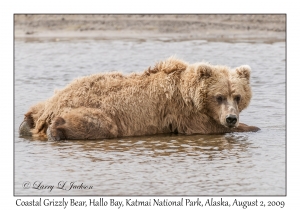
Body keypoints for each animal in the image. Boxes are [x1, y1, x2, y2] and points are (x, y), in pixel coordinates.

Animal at [18, 56, 258, 140]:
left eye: (237, 96)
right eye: (219, 97)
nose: (231, 118)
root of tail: (52, 107)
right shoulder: (183, 113)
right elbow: (207, 128)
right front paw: (250, 127)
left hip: (46, 102)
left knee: (32, 112)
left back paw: (26, 124)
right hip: (101, 112)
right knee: (101, 125)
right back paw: (57, 129)